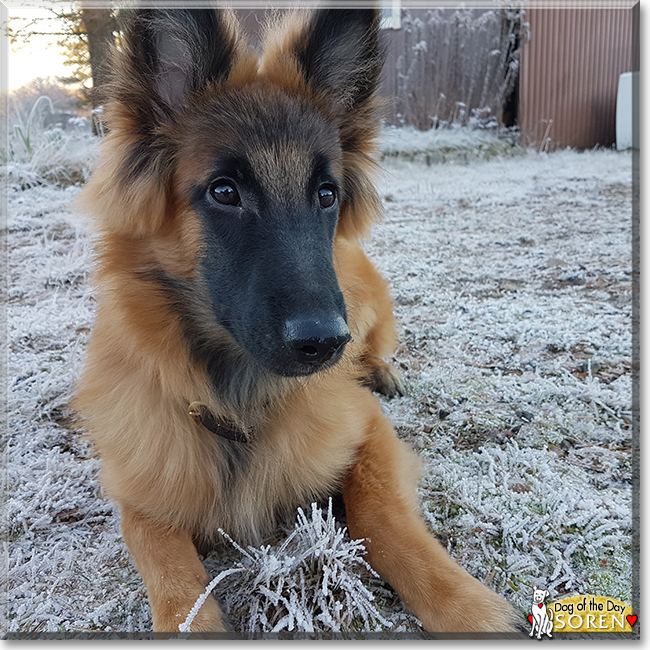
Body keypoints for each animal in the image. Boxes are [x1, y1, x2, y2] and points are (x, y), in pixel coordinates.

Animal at [72, 6, 516, 632]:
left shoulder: (368, 430)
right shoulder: (140, 497)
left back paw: (383, 369)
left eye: (326, 194)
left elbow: (381, 515)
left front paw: (466, 606)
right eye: (225, 191)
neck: (237, 401)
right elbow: (172, 576)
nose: (326, 343)